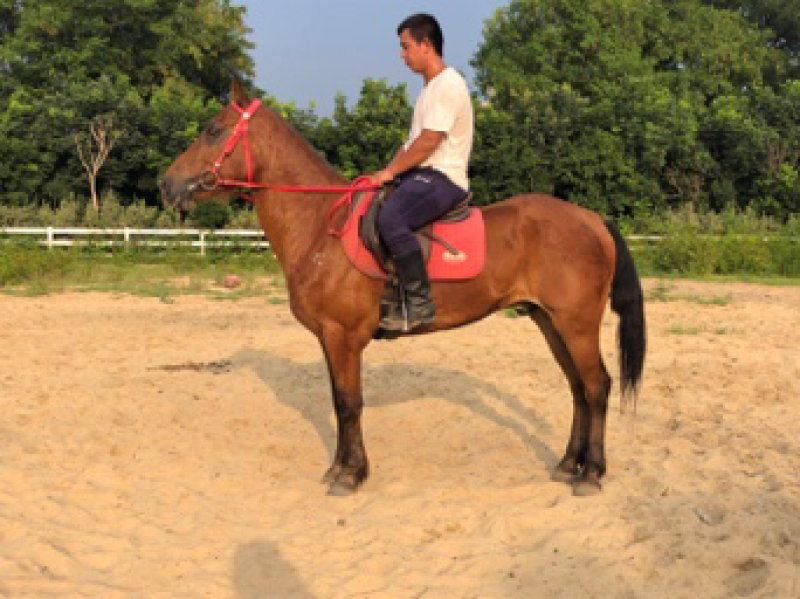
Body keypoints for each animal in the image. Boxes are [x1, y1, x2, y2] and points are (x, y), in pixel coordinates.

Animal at [159, 79, 646, 497]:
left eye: (213, 130)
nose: (166, 184)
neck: (319, 226)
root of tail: (592, 219)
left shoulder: (343, 336)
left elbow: (349, 403)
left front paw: (351, 475)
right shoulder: (329, 338)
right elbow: (338, 401)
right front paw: (339, 467)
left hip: (576, 323)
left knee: (596, 386)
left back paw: (592, 473)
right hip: (550, 321)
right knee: (578, 388)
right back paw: (568, 465)